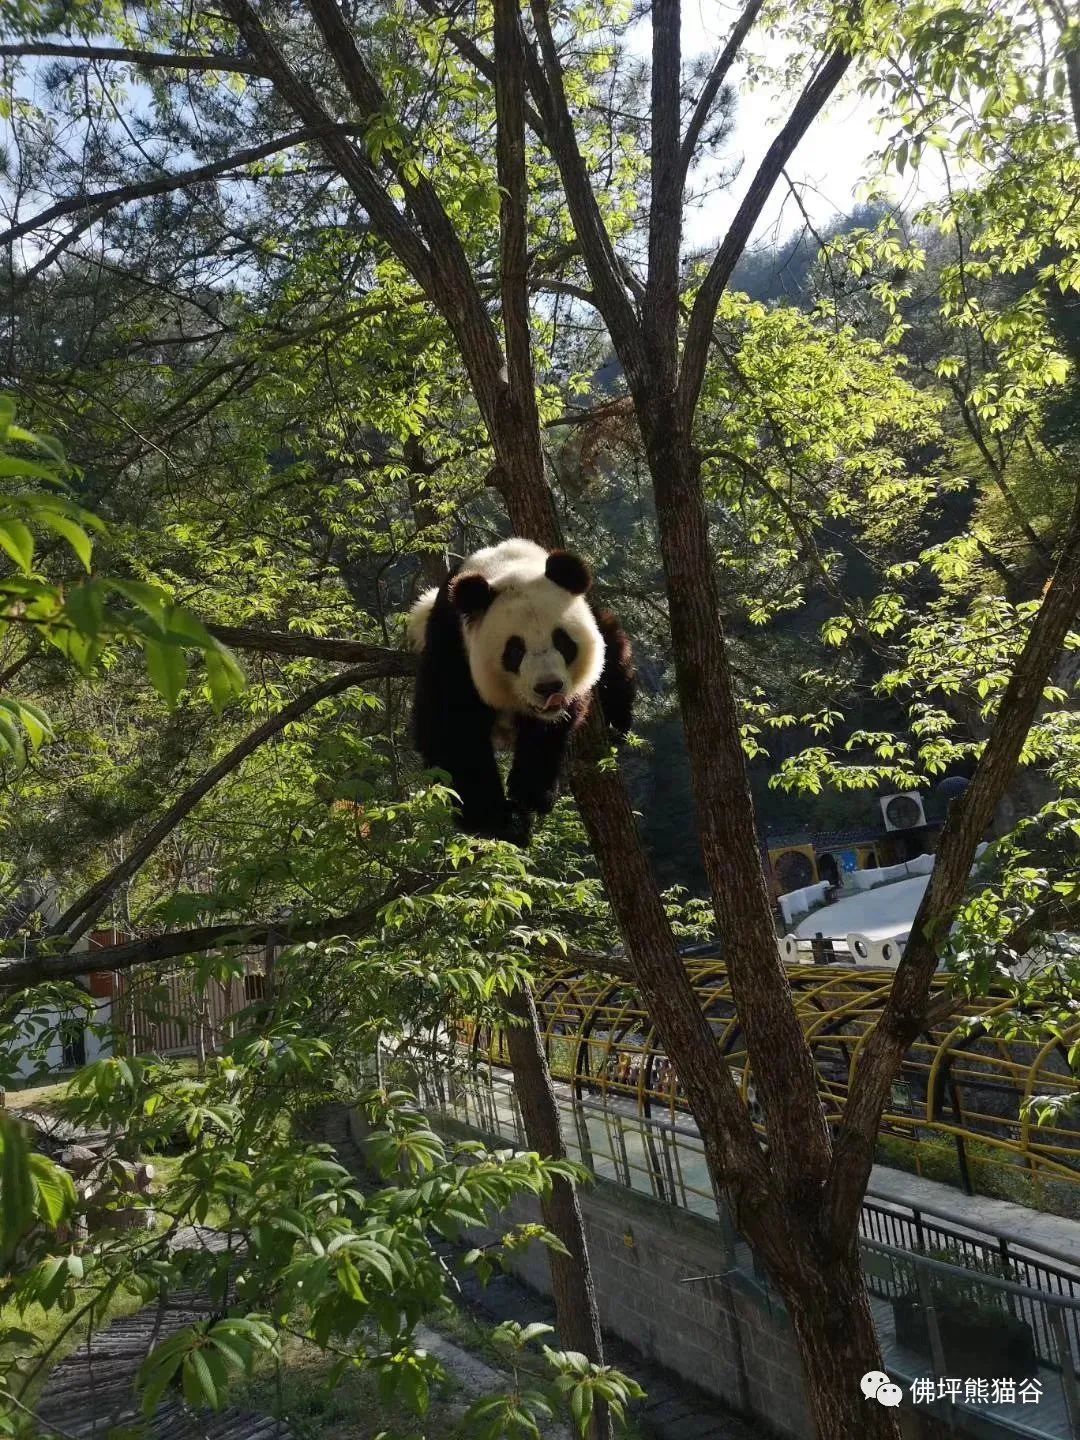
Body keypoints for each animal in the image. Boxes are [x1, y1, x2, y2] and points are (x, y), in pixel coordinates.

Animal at [408, 538, 635, 845]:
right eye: (515, 650)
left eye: (562, 641)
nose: (549, 687)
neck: (508, 567)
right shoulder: (452, 646)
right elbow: (452, 730)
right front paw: (500, 820)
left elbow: (548, 731)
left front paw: (531, 797)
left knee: (614, 651)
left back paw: (616, 723)